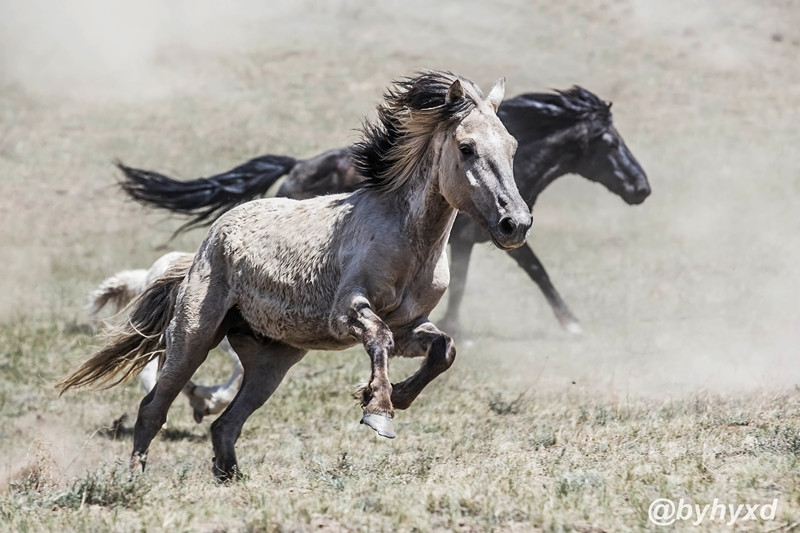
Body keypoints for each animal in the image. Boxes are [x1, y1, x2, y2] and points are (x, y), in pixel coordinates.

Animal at [61, 69, 532, 478]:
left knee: (225, 423)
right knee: (154, 408)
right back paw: (134, 479)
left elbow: (443, 349)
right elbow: (378, 337)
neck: (406, 235)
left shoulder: (410, 326)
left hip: (272, 361)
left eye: (512, 146)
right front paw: (378, 410)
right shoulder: (348, 311)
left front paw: (393, 395)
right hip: (194, 336)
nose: (516, 223)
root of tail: (209, 240)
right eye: (467, 148)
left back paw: (233, 479)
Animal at [122, 85, 652, 334]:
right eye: (608, 142)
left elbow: (471, 280)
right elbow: (537, 270)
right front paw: (572, 323)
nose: (641, 188)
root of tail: (295, 166)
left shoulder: (478, 239)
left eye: (514, 146)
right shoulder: (494, 236)